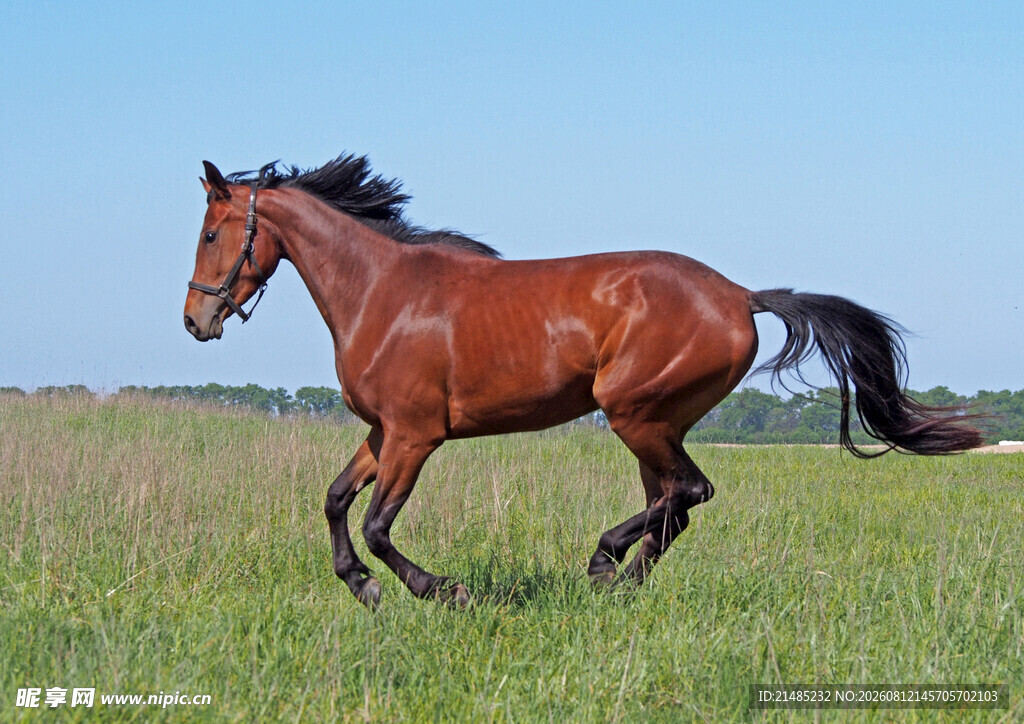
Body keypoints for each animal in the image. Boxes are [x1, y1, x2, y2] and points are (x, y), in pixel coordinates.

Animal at [184, 154, 983, 608]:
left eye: (211, 233)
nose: (196, 320)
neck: (382, 292)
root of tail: (739, 295)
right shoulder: (383, 434)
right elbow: (334, 501)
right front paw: (361, 587)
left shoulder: (414, 436)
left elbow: (379, 526)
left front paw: (441, 590)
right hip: (654, 424)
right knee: (673, 506)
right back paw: (620, 581)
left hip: (633, 412)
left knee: (688, 494)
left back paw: (604, 564)